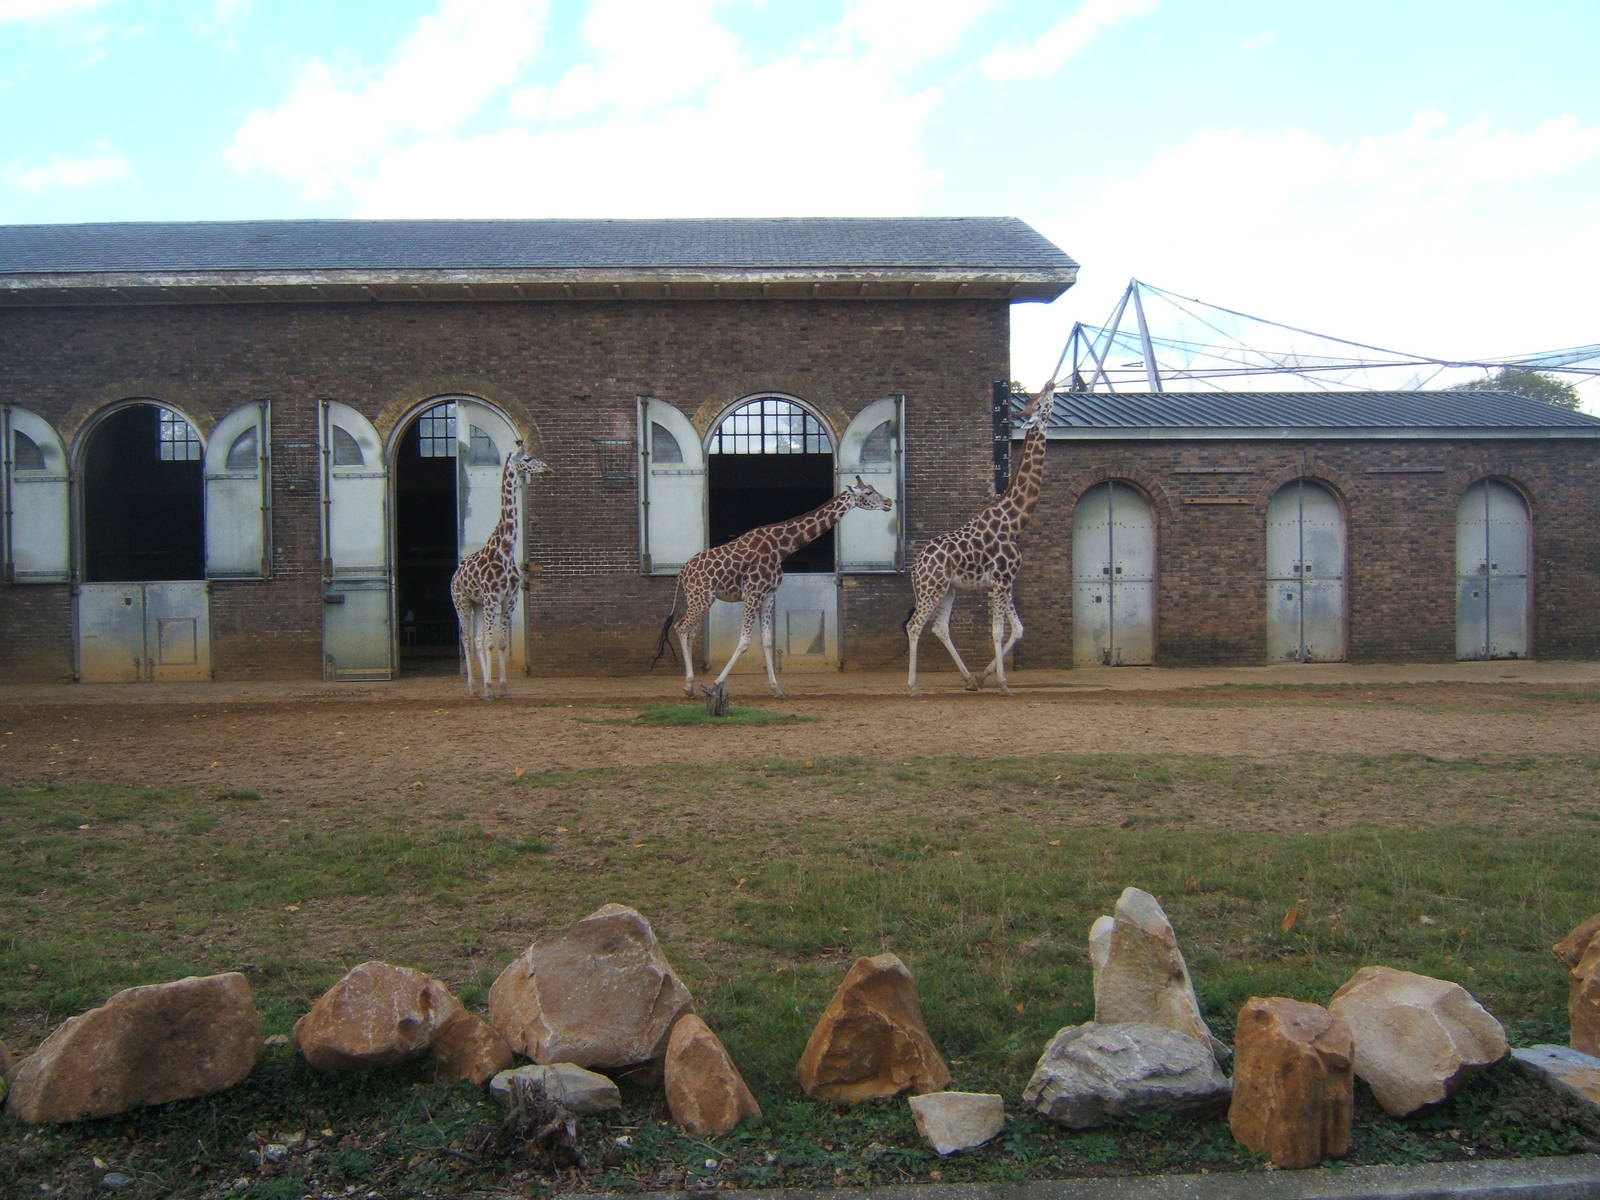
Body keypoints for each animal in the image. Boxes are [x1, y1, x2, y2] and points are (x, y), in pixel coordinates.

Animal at [450, 441, 550, 699]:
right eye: (527, 459)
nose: (547, 467)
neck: (504, 550)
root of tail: (454, 576)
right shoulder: (491, 597)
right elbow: (490, 643)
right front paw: (489, 688)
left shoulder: (509, 599)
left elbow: (500, 643)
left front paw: (502, 687)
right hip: (462, 601)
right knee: (466, 637)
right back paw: (473, 686)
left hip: (476, 604)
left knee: (476, 638)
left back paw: (482, 684)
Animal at [659, 477, 893, 699]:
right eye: (868, 492)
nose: (889, 502)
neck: (782, 548)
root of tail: (682, 572)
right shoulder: (753, 593)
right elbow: (744, 641)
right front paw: (716, 684)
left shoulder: (769, 594)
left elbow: (767, 642)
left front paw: (776, 689)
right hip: (701, 598)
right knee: (681, 627)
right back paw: (688, 686)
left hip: (702, 599)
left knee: (690, 632)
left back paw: (690, 688)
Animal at [905, 383, 1057, 696]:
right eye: (1039, 402)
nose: (1051, 383)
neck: (1015, 521)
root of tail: (915, 568)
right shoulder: (1001, 580)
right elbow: (997, 631)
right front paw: (1003, 684)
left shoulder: (1005, 582)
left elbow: (1018, 629)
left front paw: (987, 676)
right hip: (931, 589)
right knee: (914, 626)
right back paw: (913, 687)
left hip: (947, 589)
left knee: (939, 628)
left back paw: (970, 679)